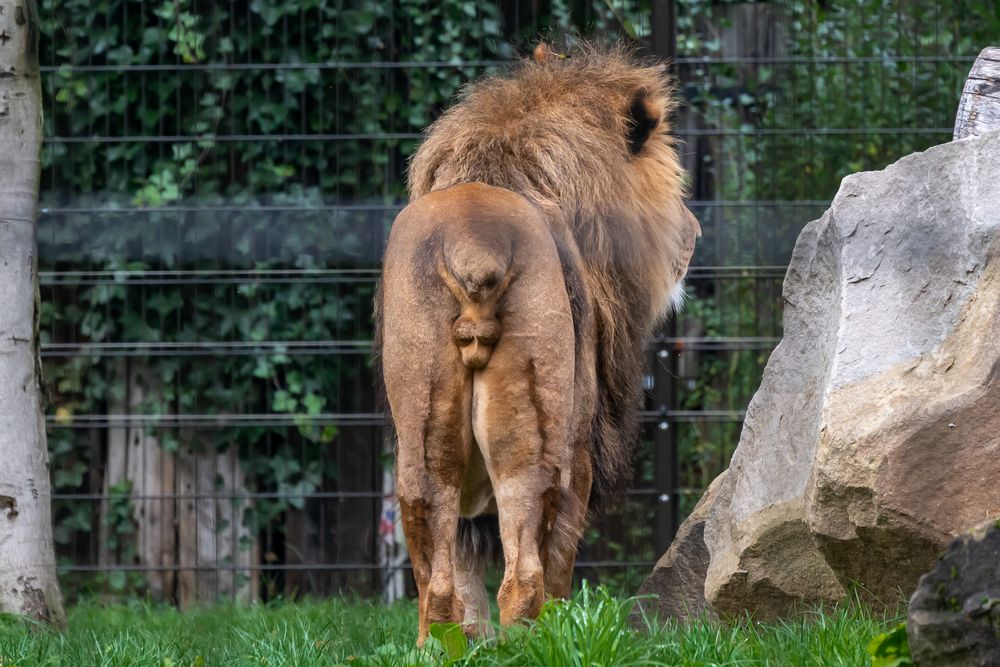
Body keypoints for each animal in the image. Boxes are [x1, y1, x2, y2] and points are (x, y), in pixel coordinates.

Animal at [374, 43, 696, 640]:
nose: (694, 230)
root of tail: (472, 241)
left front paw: (477, 643)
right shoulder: (581, 448)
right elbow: (559, 563)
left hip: (420, 437)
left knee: (438, 585)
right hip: (537, 437)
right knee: (523, 576)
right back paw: (541, 642)